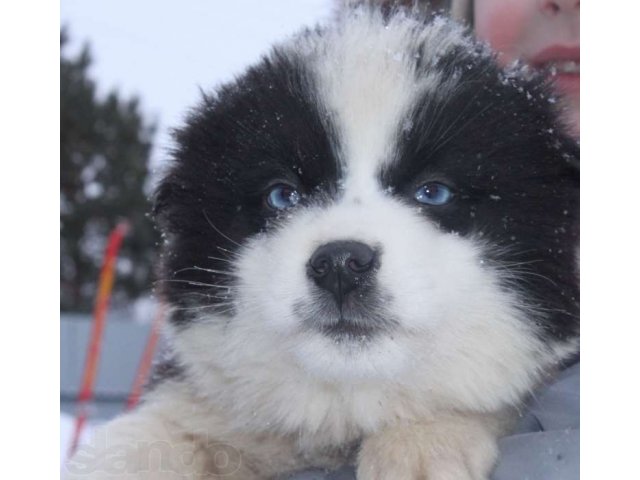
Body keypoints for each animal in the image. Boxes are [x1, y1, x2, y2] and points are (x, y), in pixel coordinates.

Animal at [65, 7, 580, 480]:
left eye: (434, 191)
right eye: (282, 195)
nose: (340, 263)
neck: (342, 408)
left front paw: (424, 442)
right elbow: (146, 441)